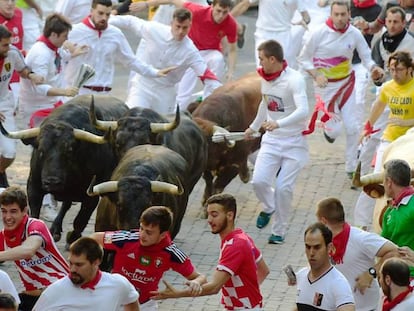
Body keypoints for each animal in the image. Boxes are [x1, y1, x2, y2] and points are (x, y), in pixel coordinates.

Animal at [0, 94, 128, 245]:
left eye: (69, 150)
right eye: (41, 150)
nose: (52, 182)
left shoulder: (92, 195)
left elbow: (80, 220)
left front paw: (73, 238)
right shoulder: (33, 186)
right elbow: (35, 214)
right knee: (66, 204)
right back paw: (55, 229)